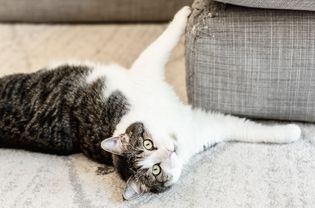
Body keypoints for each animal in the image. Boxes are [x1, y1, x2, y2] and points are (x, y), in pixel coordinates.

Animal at [0, 6, 302, 202]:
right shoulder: (191, 116)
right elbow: (246, 127)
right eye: (155, 169)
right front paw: (292, 131)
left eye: (147, 143)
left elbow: (244, 127)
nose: (169, 151)